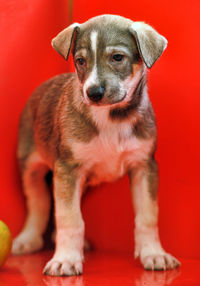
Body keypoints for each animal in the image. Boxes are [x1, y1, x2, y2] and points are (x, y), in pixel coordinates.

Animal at [11, 15, 180, 274]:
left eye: (117, 57)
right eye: (80, 61)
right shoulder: (67, 170)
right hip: (31, 169)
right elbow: (69, 218)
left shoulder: (144, 167)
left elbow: (148, 216)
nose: (93, 92)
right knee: (38, 204)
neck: (112, 118)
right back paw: (29, 239)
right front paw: (66, 259)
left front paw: (153, 253)